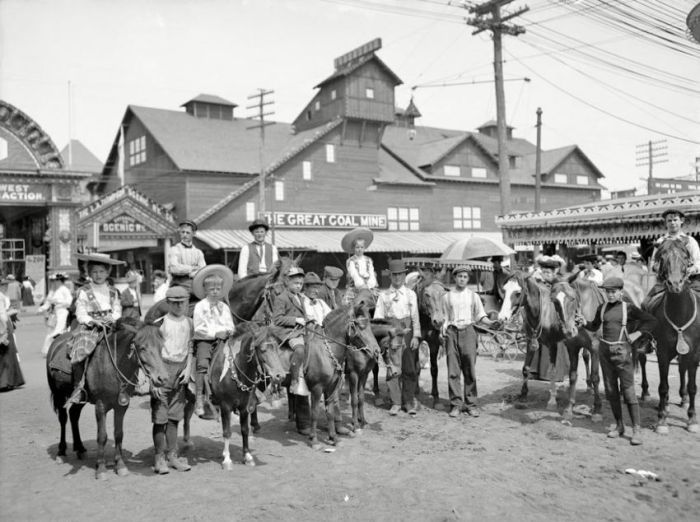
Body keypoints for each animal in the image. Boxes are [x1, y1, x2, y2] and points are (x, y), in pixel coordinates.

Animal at [46, 322, 168, 478]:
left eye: (161, 346)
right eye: (142, 347)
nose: (162, 378)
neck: (112, 365)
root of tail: (57, 342)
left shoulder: (122, 405)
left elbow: (119, 434)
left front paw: (120, 466)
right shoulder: (100, 405)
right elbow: (102, 436)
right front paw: (101, 469)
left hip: (82, 399)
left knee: (74, 415)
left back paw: (80, 448)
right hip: (59, 394)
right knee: (63, 418)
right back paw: (61, 452)